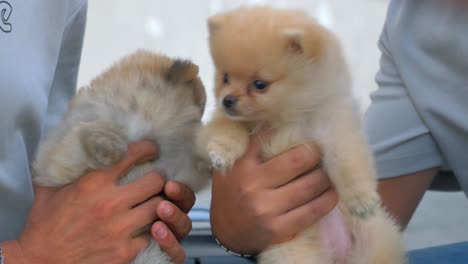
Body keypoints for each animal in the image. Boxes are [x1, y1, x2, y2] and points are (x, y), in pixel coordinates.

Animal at [32, 50, 209, 264]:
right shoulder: (58, 162)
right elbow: (83, 134)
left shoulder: (177, 168)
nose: (200, 124)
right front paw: (109, 143)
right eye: (197, 109)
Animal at [199, 5, 408, 264]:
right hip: (290, 251)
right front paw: (221, 153)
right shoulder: (227, 119)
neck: (284, 119)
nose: (227, 100)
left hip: (374, 238)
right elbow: (227, 128)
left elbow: (346, 160)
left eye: (260, 84)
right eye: (225, 77)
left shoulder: (334, 126)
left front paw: (362, 200)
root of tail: (336, 254)